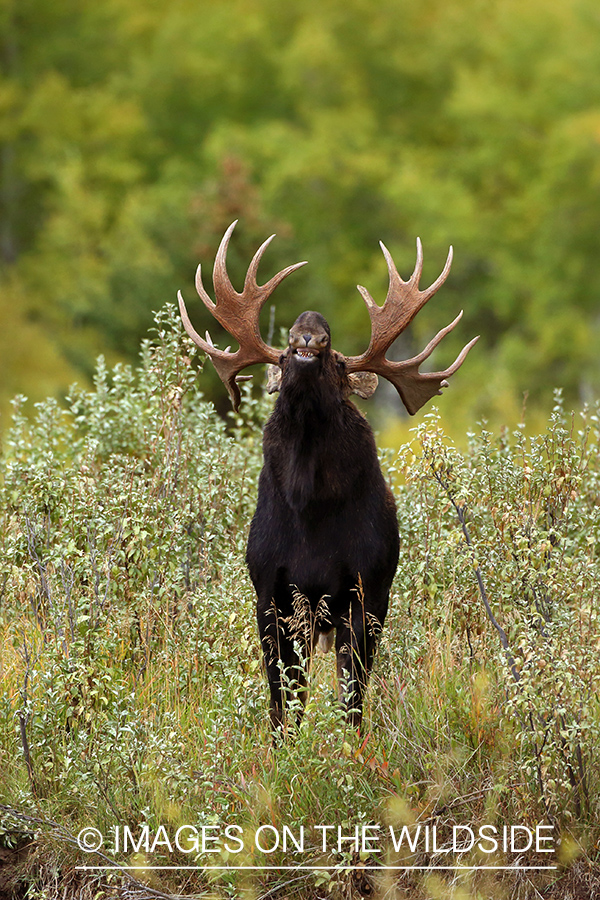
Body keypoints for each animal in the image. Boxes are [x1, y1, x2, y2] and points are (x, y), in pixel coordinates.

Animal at [178, 221, 478, 735]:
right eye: (282, 357)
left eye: (338, 364)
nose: (308, 334)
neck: (310, 508)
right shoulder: (270, 592)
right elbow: (283, 701)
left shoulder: (367, 589)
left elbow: (352, 698)